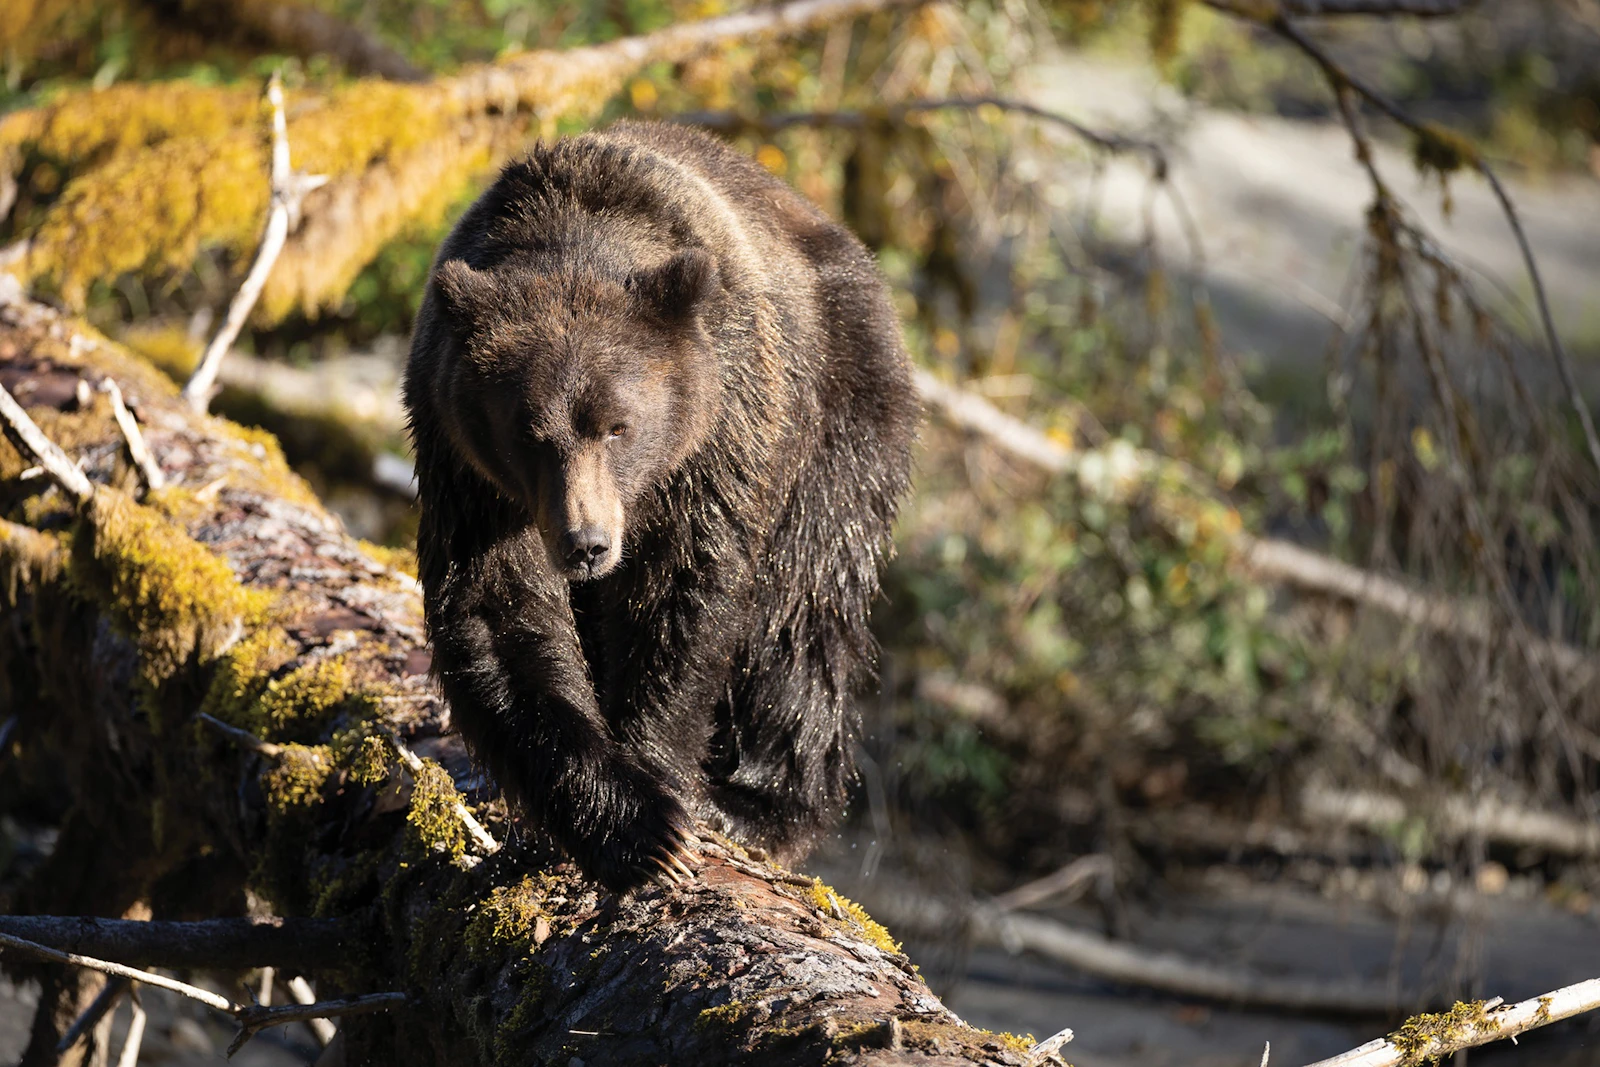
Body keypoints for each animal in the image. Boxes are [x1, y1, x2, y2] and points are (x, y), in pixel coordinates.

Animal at [402, 120, 918, 892]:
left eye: (618, 425)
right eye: (528, 433)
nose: (587, 542)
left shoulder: (719, 432)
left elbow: (682, 597)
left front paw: (667, 791)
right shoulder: (465, 464)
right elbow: (500, 612)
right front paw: (630, 825)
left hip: (841, 414)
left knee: (805, 608)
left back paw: (758, 802)